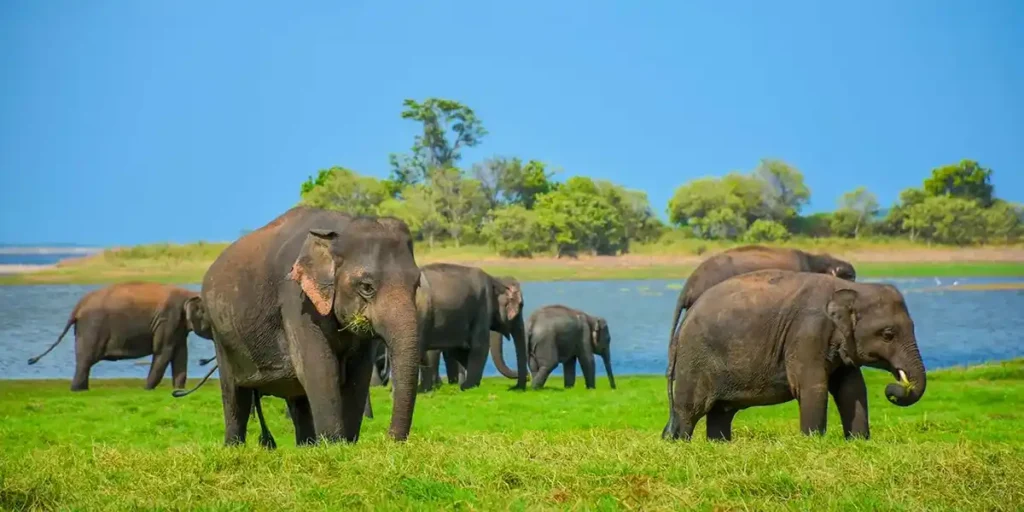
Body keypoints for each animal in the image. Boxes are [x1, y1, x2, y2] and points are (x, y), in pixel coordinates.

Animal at [27, 282, 209, 389]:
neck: (189, 294)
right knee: (85, 361)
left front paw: (178, 390)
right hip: (92, 327)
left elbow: (181, 354)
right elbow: (163, 352)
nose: (203, 361)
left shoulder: (177, 326)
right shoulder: (168, 319)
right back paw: (77, 390)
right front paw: (147, 389)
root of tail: (77, 307)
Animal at [172, 205, 423, 446]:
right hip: (222, 335)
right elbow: (319, 368)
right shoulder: (295, 299)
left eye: (417, 284)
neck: (338, 229)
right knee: (234, 395)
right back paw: (234, 447)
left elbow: (358, 373)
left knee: (298, 399)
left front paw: (348, 445)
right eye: (367, 287)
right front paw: (335, 446)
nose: (390, 440)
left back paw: (306, 446)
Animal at [663, 270, 929, 442]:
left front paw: (859, 441)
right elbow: (813, 386)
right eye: (888, 335)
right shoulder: (807, 333)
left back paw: (718, 443)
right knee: (690, 410)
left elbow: (852, 389)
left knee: (720, 414)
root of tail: (683, 322)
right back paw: (679, 442)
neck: (853, 289)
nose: (894, 389)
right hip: (694, 360)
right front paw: (812, 442)